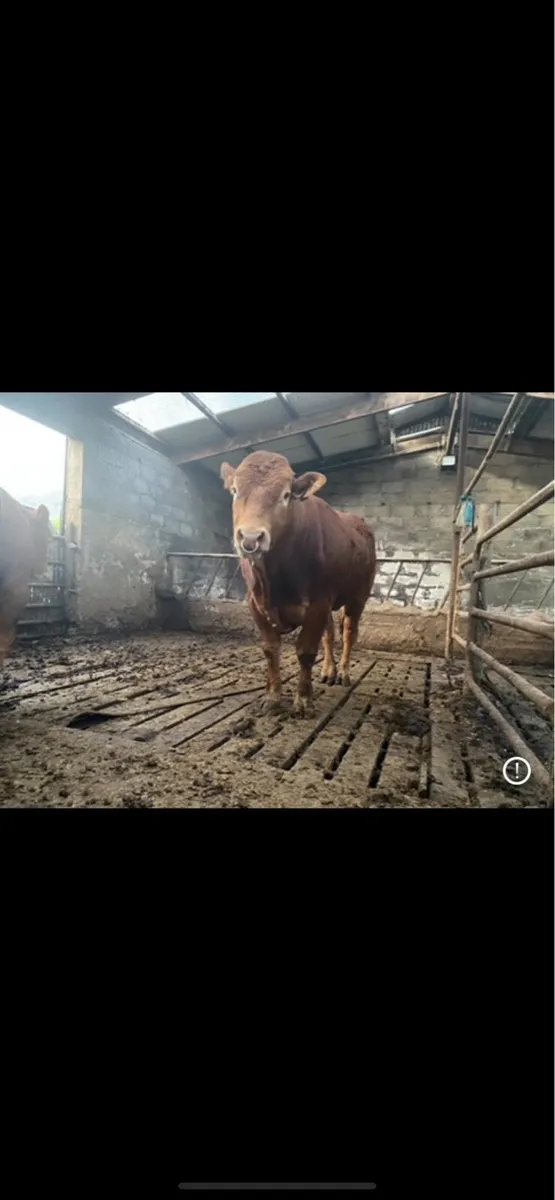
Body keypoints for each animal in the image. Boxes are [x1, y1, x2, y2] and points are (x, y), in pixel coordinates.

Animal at [221, 451, 376, 717]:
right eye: (234, 490)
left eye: (286, 495)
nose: (251, 537)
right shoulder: (255, 603)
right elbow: (271, 649)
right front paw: (272, 697)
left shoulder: (318, 603)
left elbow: (305, 651)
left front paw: (303, 701)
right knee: (329, 633)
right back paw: (328, 671)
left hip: (358, 597)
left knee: (348, 633)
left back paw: (343, 672)